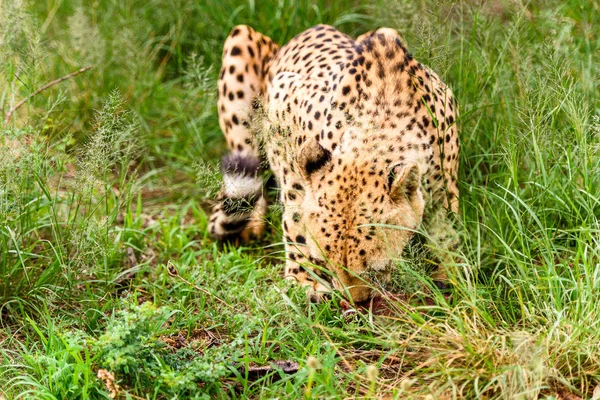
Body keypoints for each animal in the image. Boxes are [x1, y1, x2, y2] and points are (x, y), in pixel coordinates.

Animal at [209, 24, 462, 304]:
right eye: (325, 263)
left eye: (376, 269)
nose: (355, 301)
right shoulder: (283, 98)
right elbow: (294, 210)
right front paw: (304, 278)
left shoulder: (444, 186)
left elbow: (447, 232)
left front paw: (450, 277)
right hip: (240, 44)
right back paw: (253, 222)